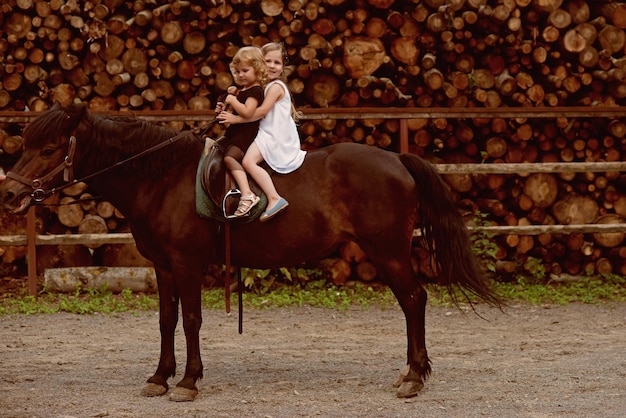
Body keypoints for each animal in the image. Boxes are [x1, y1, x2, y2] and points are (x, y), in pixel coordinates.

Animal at [0, 102, 498, 402]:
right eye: (26, 144)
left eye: (49, 148)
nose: (10, 195)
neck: (161, 177)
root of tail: (396, 159)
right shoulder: (162, 266)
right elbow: (166, 321)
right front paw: (159, 377)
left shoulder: (186, 263)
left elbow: (192, 320)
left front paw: (188, 382)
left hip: (388, 251)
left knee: (414, 301)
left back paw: (413, 377)